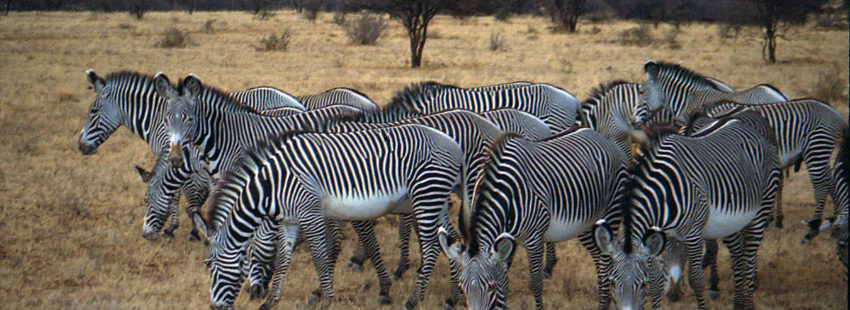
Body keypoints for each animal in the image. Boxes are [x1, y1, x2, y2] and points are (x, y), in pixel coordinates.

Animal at [206, 124, 468, 308]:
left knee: (433, 247)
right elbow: (283, 260)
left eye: (210, 266)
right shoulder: (290, 220)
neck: (272, 185)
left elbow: (320, 258)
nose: (214, 308)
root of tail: (455, 145)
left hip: (426, 196)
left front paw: (324, 301)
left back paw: (413, 300)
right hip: (435, 200)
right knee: (451, 240)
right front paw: (269, 303)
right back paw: (452, 297)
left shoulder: (310, 213)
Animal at [438, 128, 628, 310]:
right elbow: (504, 282)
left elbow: (535, 283)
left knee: (605, 263)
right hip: (584, 222)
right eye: (462, 288)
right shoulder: (506, 241)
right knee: (598, 257)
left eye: (490, 287)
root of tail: (605, 139)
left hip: (611, 211)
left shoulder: (534, 239)